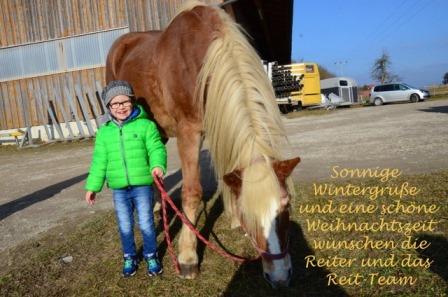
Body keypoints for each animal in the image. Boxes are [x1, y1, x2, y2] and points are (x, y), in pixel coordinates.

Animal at [105, 0, 300, 286]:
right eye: (250, 215)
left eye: (285, 207)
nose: (281, 277)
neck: (203, 59)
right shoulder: (190, 131)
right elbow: (192, 192)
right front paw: (187, 257)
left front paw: (232, 219)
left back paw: (156, 205)